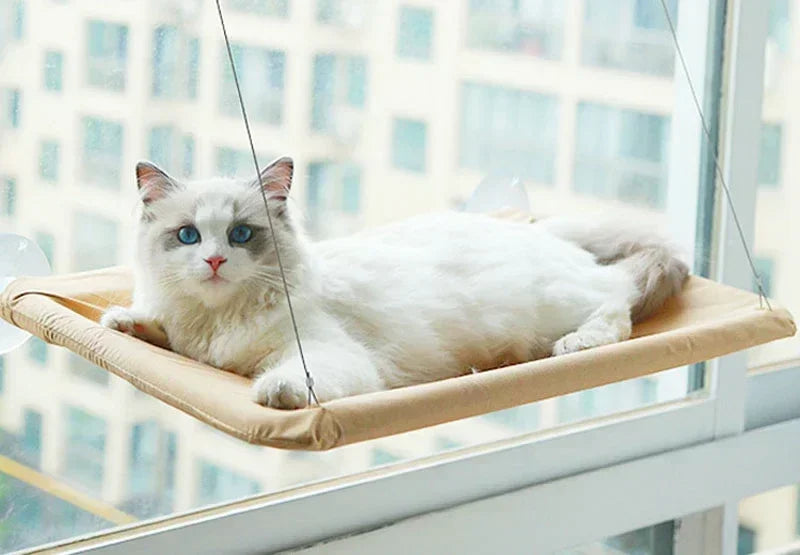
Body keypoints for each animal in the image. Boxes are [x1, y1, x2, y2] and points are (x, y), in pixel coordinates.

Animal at [100, 156, 688, 408]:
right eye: (189, 236)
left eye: (241, 234)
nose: (216, 262)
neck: (217, 320)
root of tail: (539, 231)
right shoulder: (187, 338)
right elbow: (156, 328)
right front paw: (123, 321)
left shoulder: (326, 353)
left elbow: (293, 377)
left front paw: (275, 392)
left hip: (557, 305)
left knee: (616, 306)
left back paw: (577, 344)